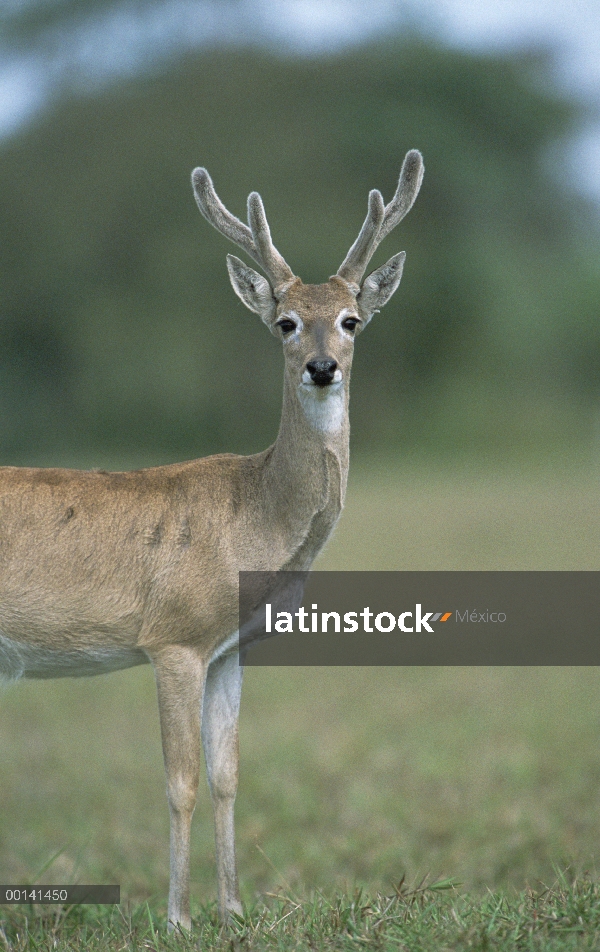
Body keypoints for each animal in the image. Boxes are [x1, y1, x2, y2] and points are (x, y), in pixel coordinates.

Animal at [1, 152, 422, 932]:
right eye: (286, 322)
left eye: (351, 319)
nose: (324, 366)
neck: (253, 522)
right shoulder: (172, 639)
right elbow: (182, 781)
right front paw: (176, 917)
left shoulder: (231, 649)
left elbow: (227, 774)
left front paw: (231, 909)